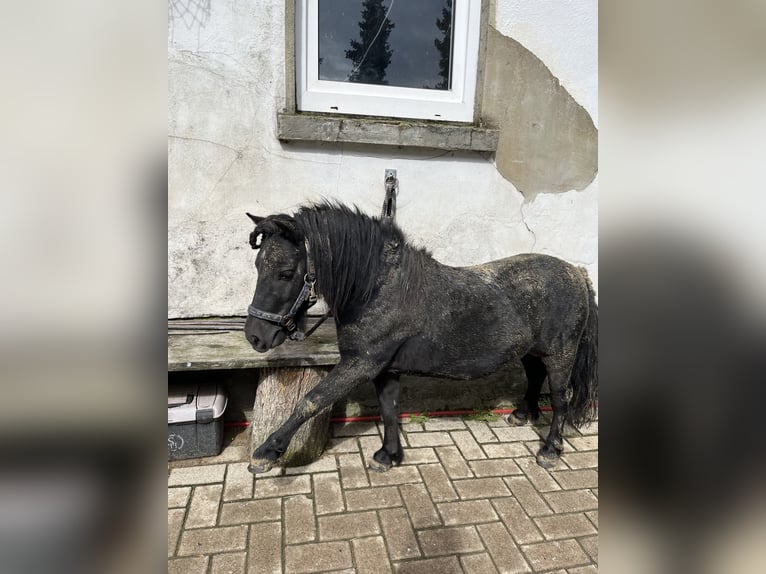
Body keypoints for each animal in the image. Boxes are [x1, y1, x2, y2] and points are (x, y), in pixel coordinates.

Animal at [243, 205, 596, 474]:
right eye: (258, 264)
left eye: (286, 272)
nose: (255, 336)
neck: (379, 288)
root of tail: (577, 272)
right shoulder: (385, 370)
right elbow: (388, 409)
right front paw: (388, 455)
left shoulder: (360, 365)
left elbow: (311, 401)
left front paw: (266, 453)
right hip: (532, 352)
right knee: (535, 378)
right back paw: (523, 415)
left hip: (561, 355)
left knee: (561, 400)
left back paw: (550, 450)